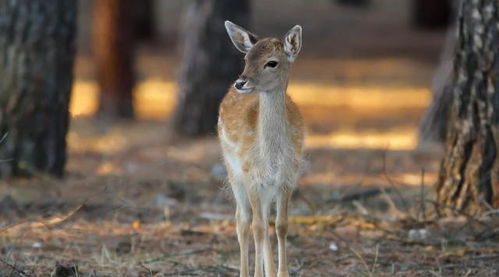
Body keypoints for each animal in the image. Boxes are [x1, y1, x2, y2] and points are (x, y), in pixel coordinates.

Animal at [219, 21, 304, 276]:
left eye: (271, 62)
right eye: (246, 58)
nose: (240, 82)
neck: (271, 157)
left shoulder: (288, 177)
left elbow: (282, 225)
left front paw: (282, 273)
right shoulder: (251, 176)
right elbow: (256, 227)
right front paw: (256, 274)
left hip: (266, 188)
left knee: (265, 220)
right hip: (233, 173)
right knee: (243, 220)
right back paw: (244, 271)